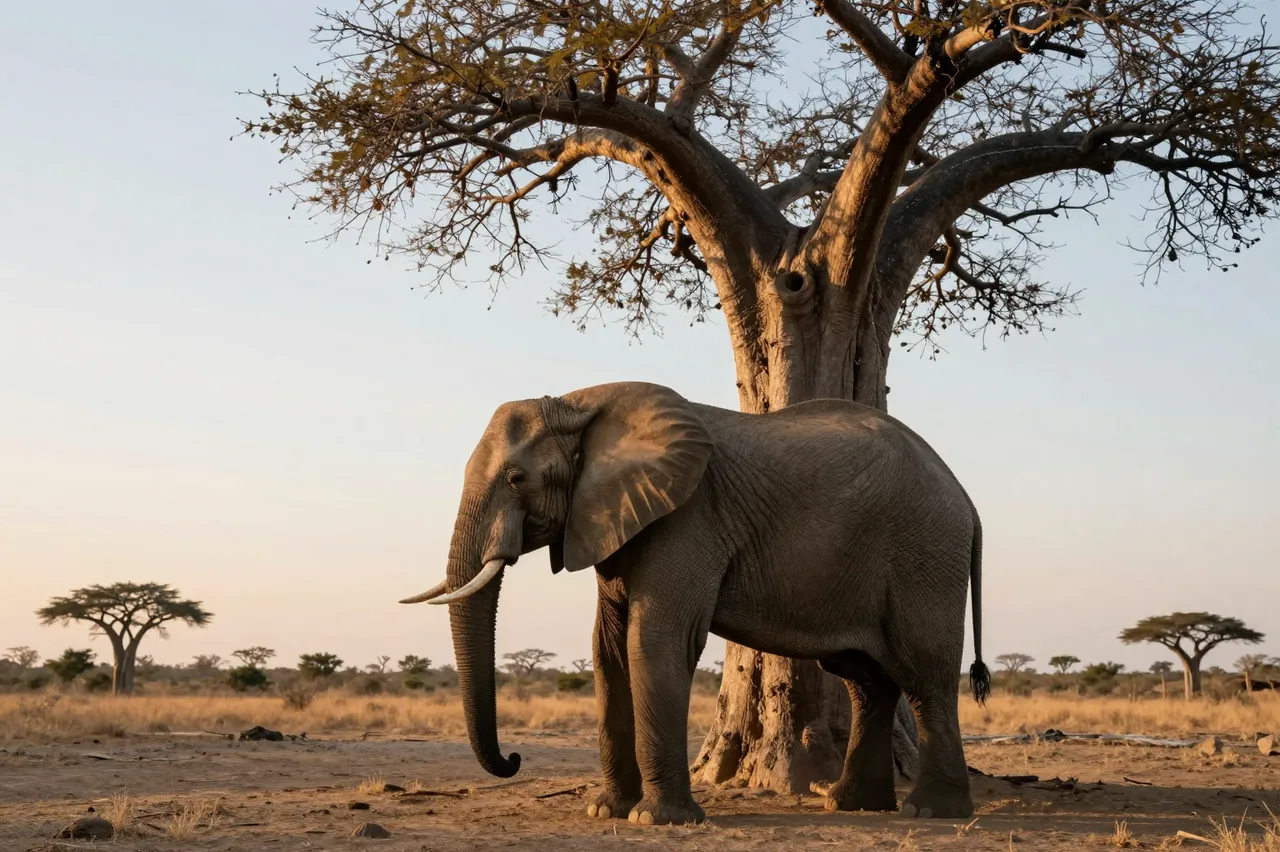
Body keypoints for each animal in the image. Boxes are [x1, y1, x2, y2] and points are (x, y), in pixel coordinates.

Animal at [400, 381, 991, 825]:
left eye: (516, 477)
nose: (515, 758)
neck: (580, 401)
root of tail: (967, 499)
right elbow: (607, 650)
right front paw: (606, 812)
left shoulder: (687, 518)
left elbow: (655, 640)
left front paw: (655, 820)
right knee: (867, 679)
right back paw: (852, 806)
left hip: (924, 554)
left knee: (925, 673)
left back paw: (929, 812)